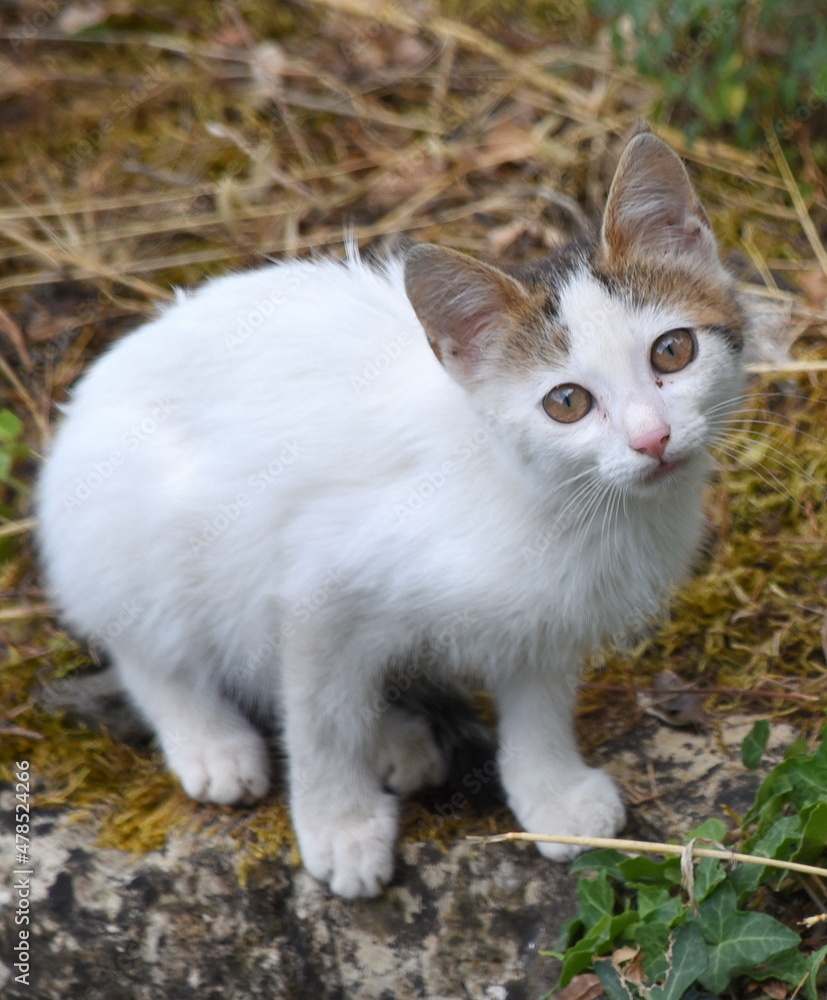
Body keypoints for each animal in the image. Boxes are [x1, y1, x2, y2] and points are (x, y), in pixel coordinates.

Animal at [37, 125, 752, 900]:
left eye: (672, 351)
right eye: (566, 402)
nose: (652, 440)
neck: (548, 498)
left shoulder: (547, 614)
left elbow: (538, 701)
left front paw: (552, 796)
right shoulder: (317, 583)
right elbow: (321, 722)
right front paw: (338, 827)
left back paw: (397, 739)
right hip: (139, 529)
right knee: (149, 644)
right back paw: (211, 740)